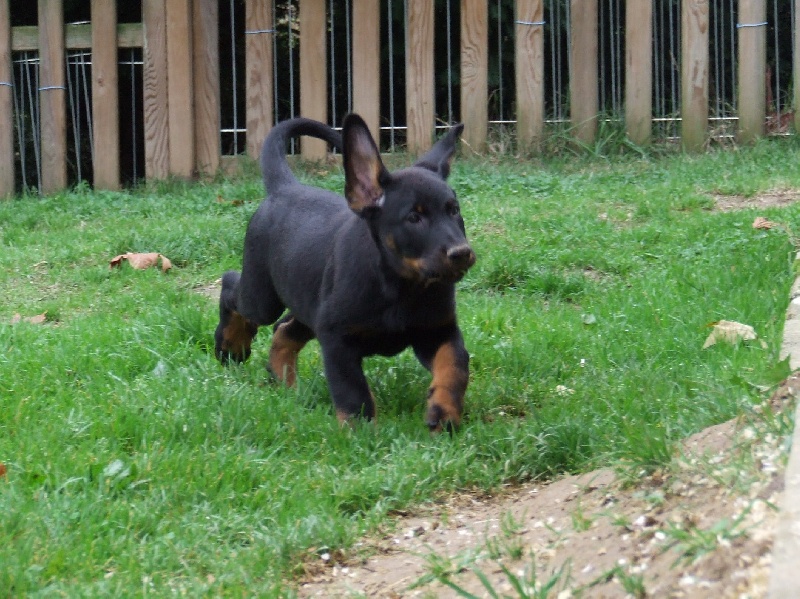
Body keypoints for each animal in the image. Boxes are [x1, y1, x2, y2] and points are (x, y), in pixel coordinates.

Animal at [212, 113, 476, 432]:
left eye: (454, 210)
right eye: (414, 217)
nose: (461, 253)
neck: (400, 287)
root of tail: (284, 188)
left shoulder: (437, 330)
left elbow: (455, 363)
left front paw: (443, 413)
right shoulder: (336, 337)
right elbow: (352, 389)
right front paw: (360, 431)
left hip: (310, 303)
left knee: (283, 329)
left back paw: (283, 382)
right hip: (264, 296)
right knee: (233, 287)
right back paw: (230, 347)